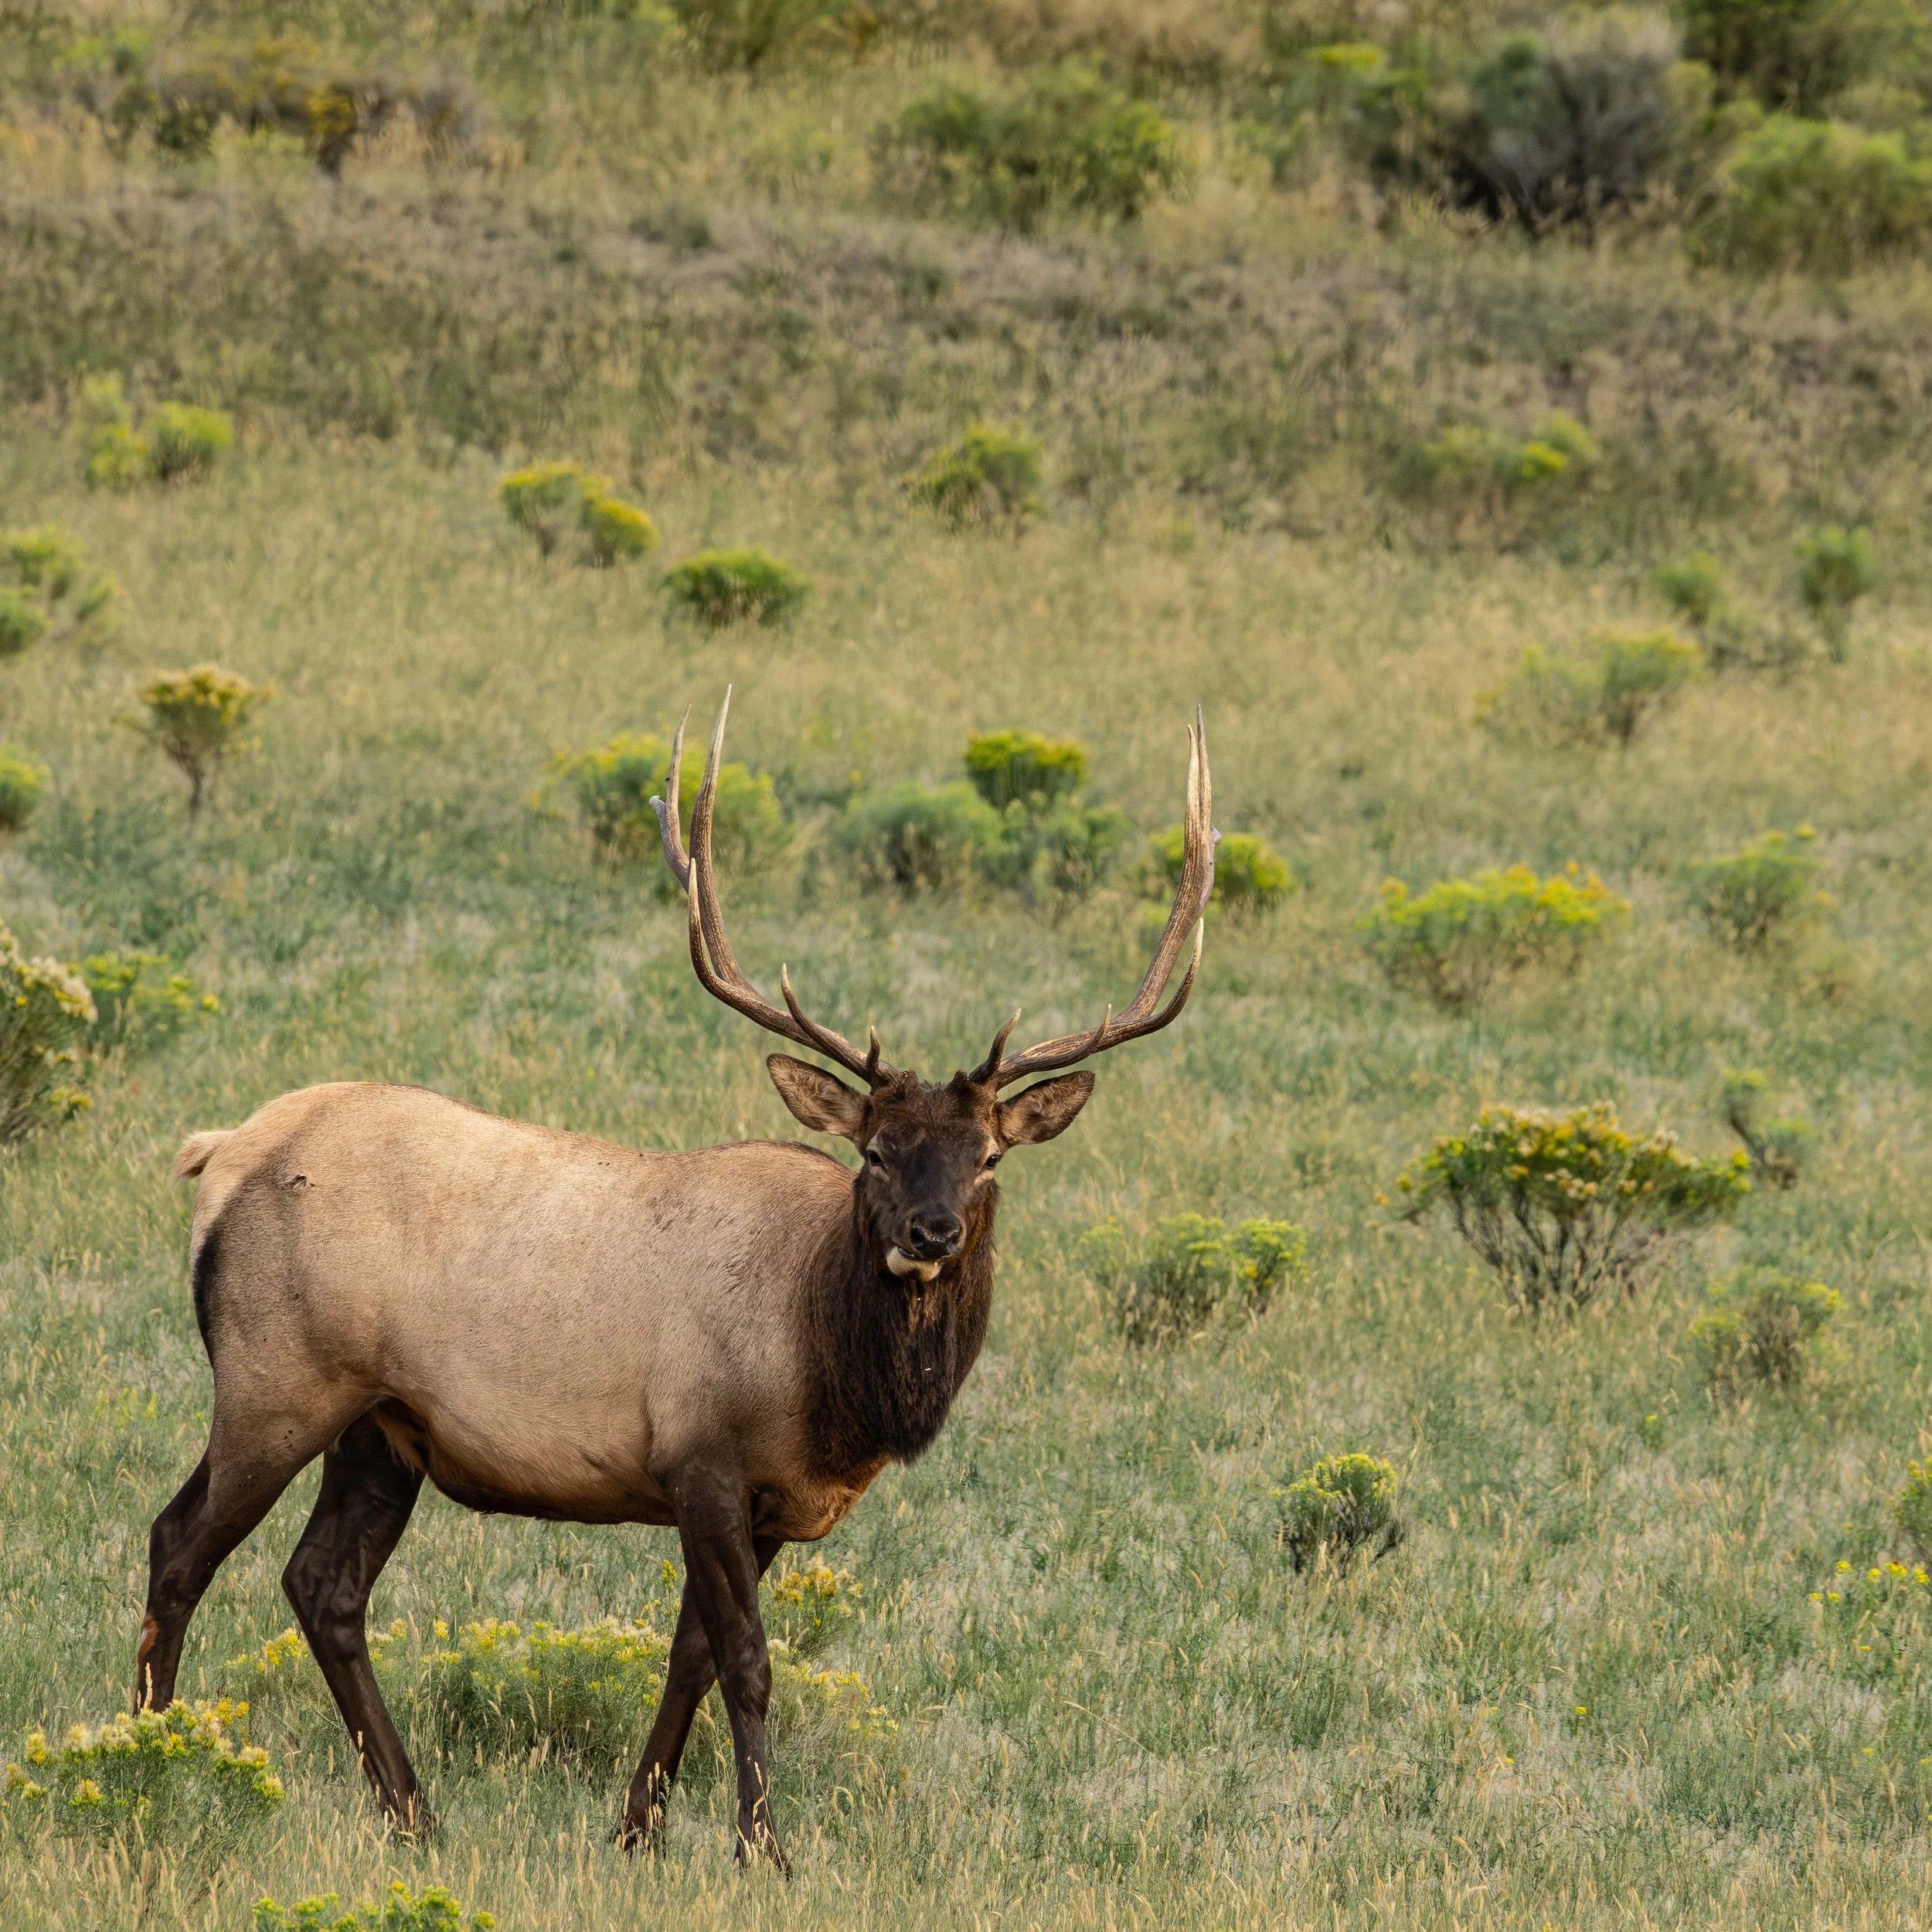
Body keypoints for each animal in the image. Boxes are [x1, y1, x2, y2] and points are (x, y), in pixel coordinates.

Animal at [139, 693, 1216, 1871]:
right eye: (876, 1150)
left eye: (986, 1157)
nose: (929, 1233)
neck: (829, 1379)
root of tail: (218, 1151)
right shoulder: (700, 1459)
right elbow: (747, 1660)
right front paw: (764, 1847)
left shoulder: (776, 1504)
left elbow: (690, 1656)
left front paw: (637, 1829)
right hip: (275, 1381)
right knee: (179, 1544)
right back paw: (149, 1751)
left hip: (380, 1425)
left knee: (322, 1584)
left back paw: (414, 1812)